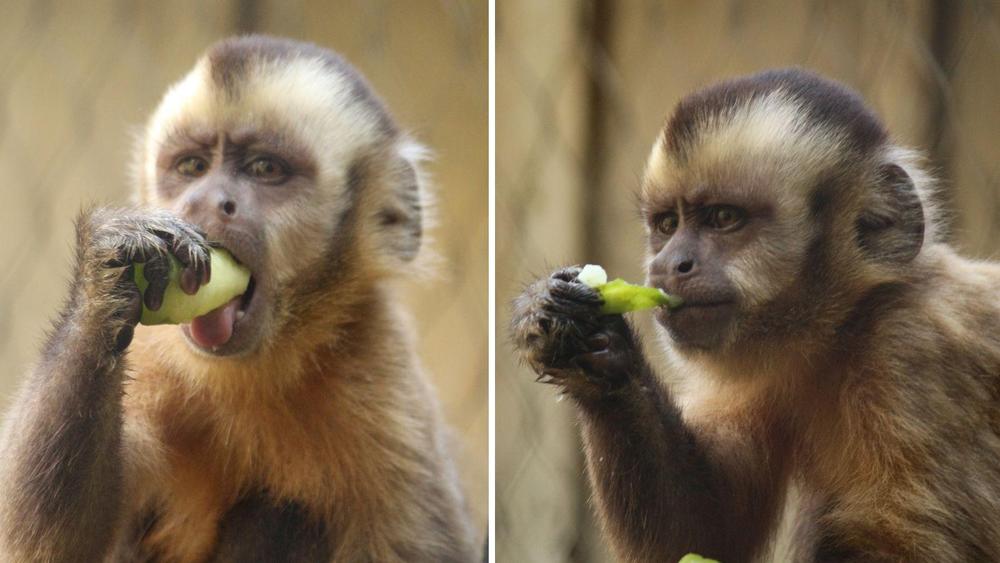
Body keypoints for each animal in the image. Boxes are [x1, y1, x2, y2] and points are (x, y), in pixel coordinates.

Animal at [0, 36, 478, 563]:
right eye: (192, 167)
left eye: (265, 169)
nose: (208, 201)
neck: (249, 374)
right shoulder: (154, 357)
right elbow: (40, 545)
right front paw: (108, 268)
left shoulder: (388, 393)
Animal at [516, 69, 1000, 563]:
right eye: (668, 225)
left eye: (723, 218)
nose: (668, 265)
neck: (850, 326)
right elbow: (704, 531)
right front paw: (590, 340)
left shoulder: (912, 352)